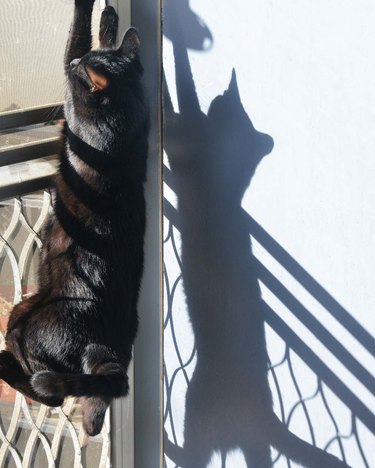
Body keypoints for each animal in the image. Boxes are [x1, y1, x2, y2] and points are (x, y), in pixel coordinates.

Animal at [0, 0, 149, 436]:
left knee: (46, 390)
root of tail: (107, 345)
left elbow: (75, 34)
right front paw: (111, 21)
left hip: (25, 323)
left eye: (81, 68)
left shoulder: (71, 104)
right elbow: (96, 35)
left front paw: (90, 12)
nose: (78, 65)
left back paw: (3, 366)